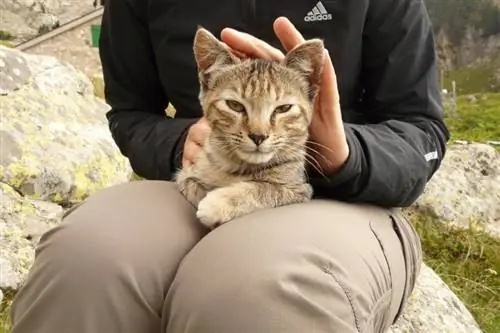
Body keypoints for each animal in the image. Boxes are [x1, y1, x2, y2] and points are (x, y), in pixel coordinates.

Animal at [175, 27, 324, 228]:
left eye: (283, 108)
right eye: (235, 105)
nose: (258, 136)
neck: (238, 166)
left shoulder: (300, 190)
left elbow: (267, 189)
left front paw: (219, 203)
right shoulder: (186, 174)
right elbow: (190, 184)